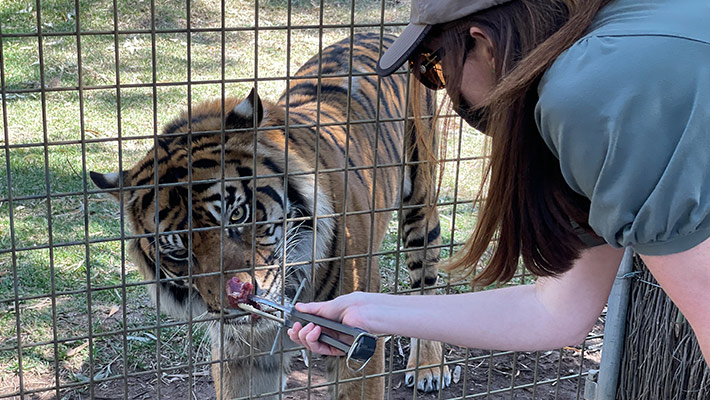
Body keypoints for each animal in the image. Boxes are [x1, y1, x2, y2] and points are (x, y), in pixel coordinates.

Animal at [90, 32, 451, 399]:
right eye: (178, 252)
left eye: (238, 214)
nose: (237, 298)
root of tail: (376, 33)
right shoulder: (243, 353)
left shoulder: (355, 348)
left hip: (421, 206)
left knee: (426, 285)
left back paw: (428, 368)